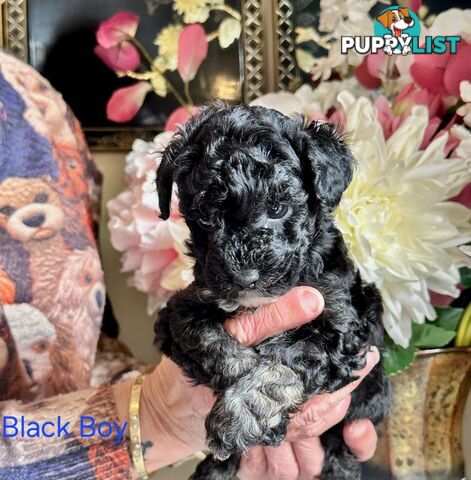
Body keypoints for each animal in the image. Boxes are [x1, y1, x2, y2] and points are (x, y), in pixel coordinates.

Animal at [155, 104, 390, 480]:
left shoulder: (344, 326)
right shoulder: (182, 309)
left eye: (278, 208)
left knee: (342, 444)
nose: (245, 276)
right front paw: (244, 396)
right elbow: (209, 340)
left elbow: (289, 357)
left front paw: (246, 409)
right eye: (205, 217)